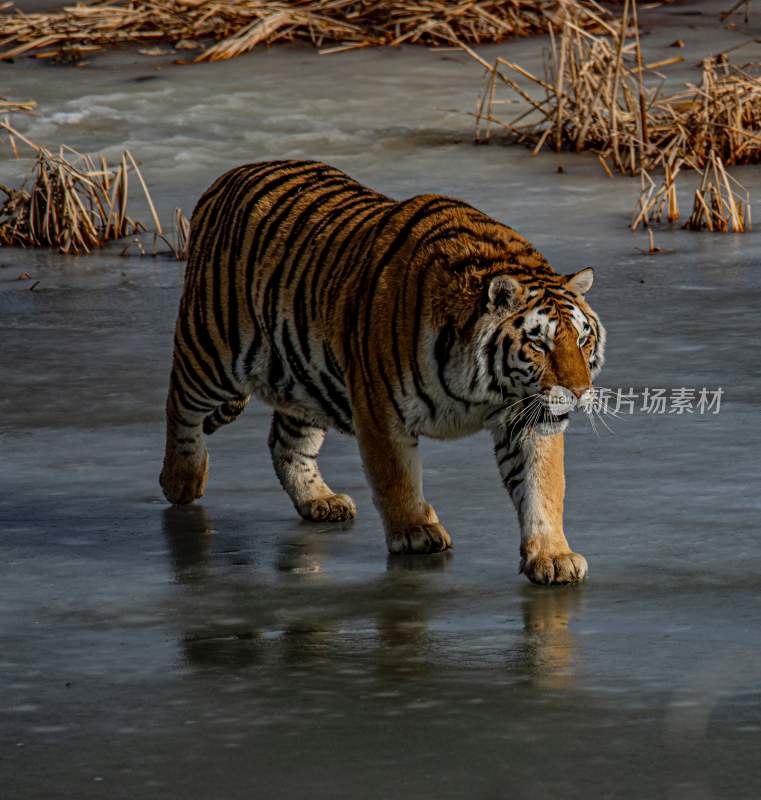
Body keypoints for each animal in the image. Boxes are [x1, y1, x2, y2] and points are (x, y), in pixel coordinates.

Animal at [160, 161, 604, 588]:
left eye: (583, 340)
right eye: (539, 345)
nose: (579, 391)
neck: (484, 387)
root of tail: (225, 178)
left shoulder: (529, 418)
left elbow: (542, 487)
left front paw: (553, 557)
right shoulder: (380, 408)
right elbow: (397, 477)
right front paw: (415, 532)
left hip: (303, 380)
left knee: (287, 443)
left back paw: (319, 501)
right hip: (213, 351)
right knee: (180, 405)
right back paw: (181, 479)